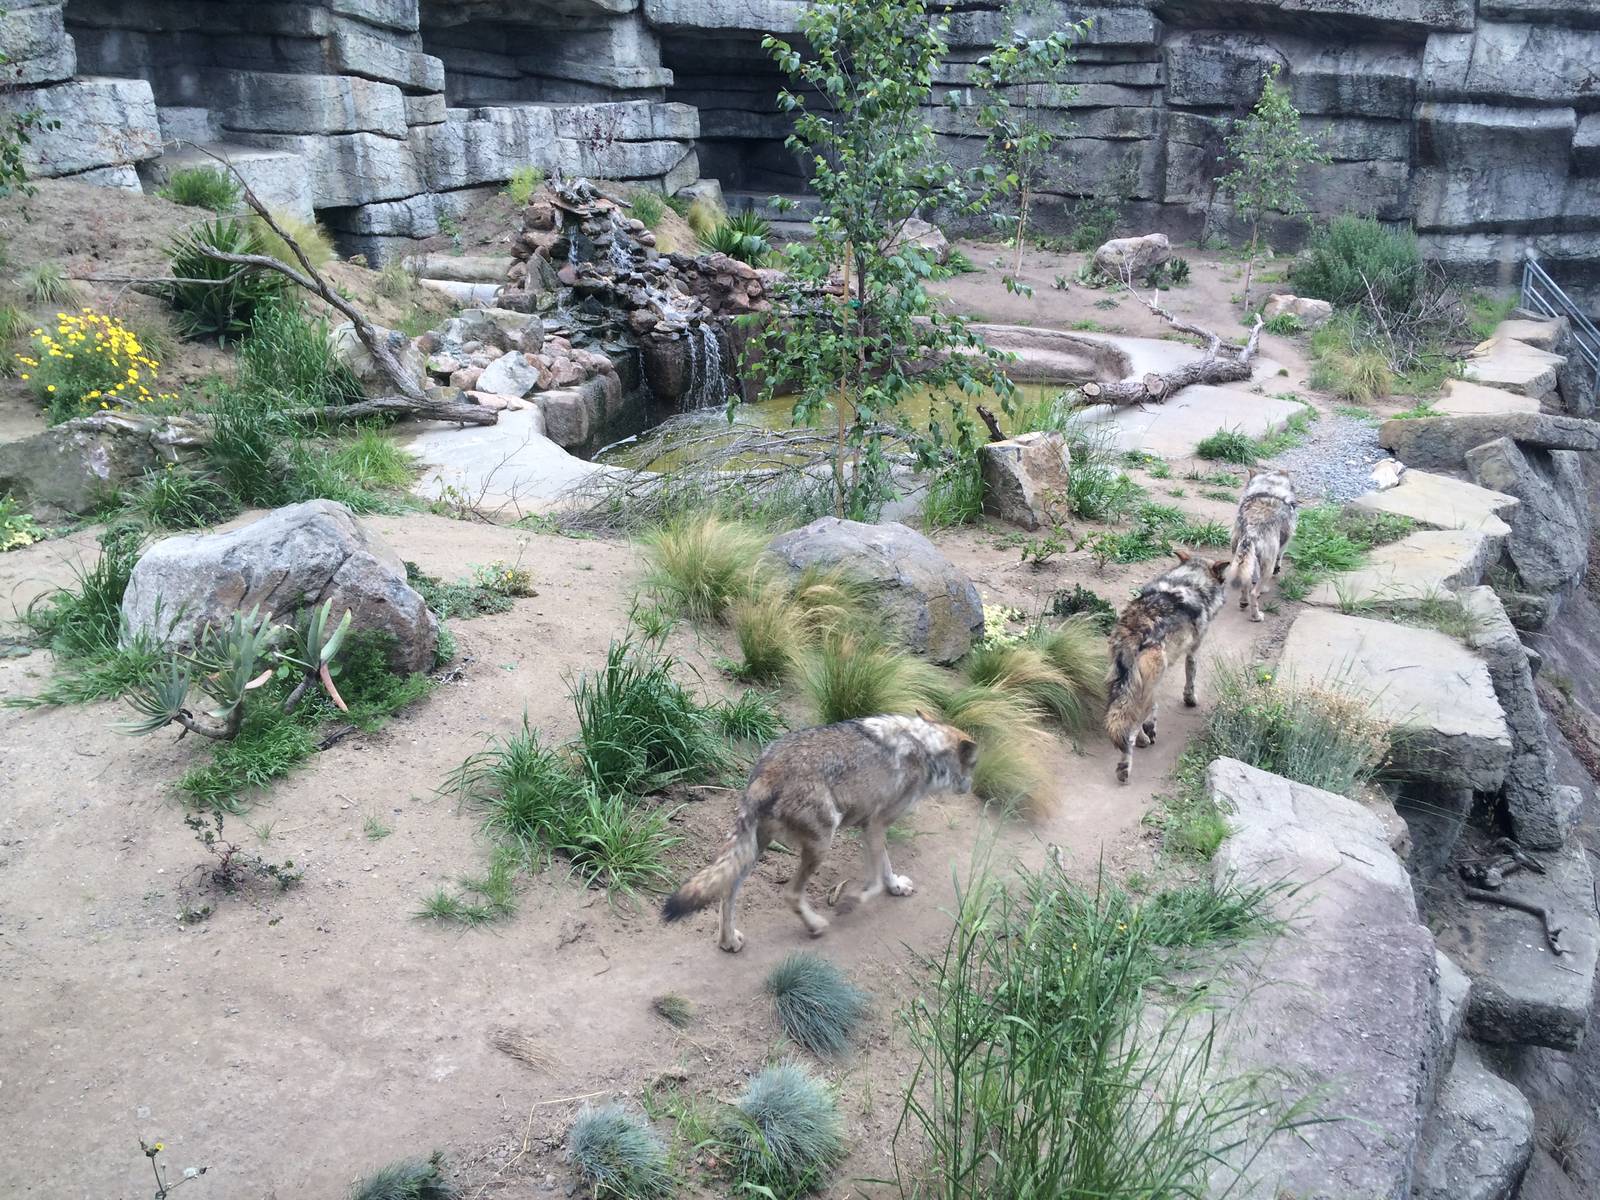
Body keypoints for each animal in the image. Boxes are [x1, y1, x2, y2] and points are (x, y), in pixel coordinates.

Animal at [662, 714, 977, 952]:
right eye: (974, 766)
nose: (970, 786)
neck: (928, 748)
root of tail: (765, 774)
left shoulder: (871, 827)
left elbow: (885, 869)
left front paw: (897, 887)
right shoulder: (875, 825)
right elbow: (874, 882)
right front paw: (851, 903)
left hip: (756, 848)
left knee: (728, 891)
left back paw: (729, 942)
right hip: (823, 842)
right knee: (790, 894)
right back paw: (815, 925)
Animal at [1105, 549, 1230, 783]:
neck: (1192, 580)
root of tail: (1134, 631)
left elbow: (1153, 710)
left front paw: (1151, 728)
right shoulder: (1193, 651)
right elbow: (1191, 678)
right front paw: (1190, 700)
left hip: (1125, 684)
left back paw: (1143, 739)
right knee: (1129, 735)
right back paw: (1126, 766)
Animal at [1228, 468, 1298, 623]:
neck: (1269, 487)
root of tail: (1251, 532)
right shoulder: (1284, 545)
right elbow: (1280, 557)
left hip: (1239, 555)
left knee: (1246, 585)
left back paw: (1243, 602)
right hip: (1268, 566)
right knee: (1254, 593)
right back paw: (1257, 616)